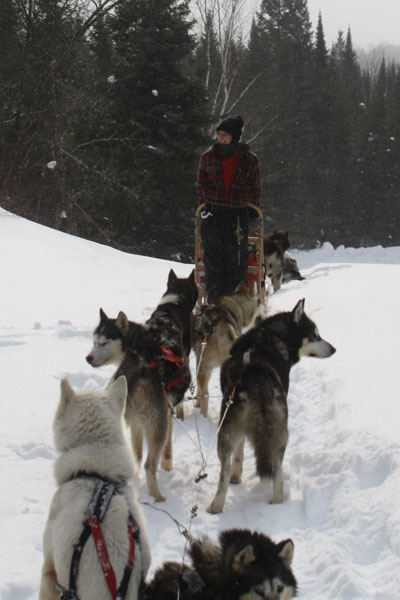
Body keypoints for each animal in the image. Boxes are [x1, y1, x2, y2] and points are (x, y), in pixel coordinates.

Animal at [86, 270, 197, 500]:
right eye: (95, 342)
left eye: (102, 342)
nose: (88, 358)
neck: (171, 309)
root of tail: (139, 367)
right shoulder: (168, 411)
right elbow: (168, 450)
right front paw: (168, 466)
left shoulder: (137, 420)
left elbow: (137, 453)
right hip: (158, 426)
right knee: (148, 464)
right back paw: (158, 496)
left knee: (137, 456)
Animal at [208, 298, 336, 512]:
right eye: (315, 335)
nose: (334, 349)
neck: (268, 338)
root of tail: (256, 375)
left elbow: (238, 455)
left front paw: (236, 477)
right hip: (276, 433)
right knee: (275, 469)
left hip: (230, 432)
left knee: (225, 471)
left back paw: (217, 506)